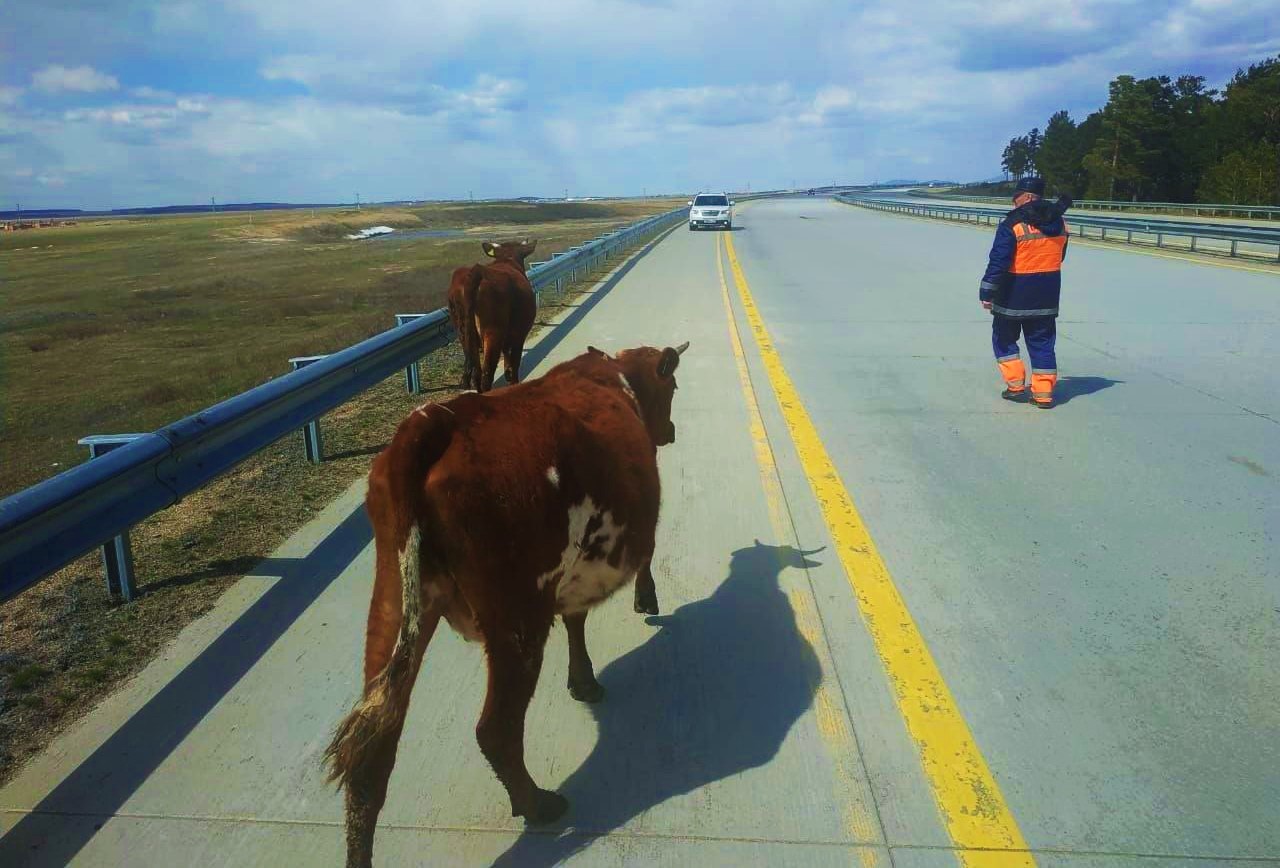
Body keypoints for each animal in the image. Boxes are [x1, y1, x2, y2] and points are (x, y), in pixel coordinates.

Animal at [330, 343, 691, 865]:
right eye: (673, 385)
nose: (670, 432)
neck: (613, 376)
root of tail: (431, 423)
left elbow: (576, 618)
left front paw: (583, 681)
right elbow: (631, 570)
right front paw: (646, 600)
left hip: (394, 599)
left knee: (372, 754)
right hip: (517, 613)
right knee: (496, 728)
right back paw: (538, 804)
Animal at [448, 241, 537, 396]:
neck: (507, 259)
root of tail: (476, 272)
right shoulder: (519, 335)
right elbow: (515, 361)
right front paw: (513, 381)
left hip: (464, 332)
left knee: (477, 373)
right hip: (493, 333)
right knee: (486, 375)